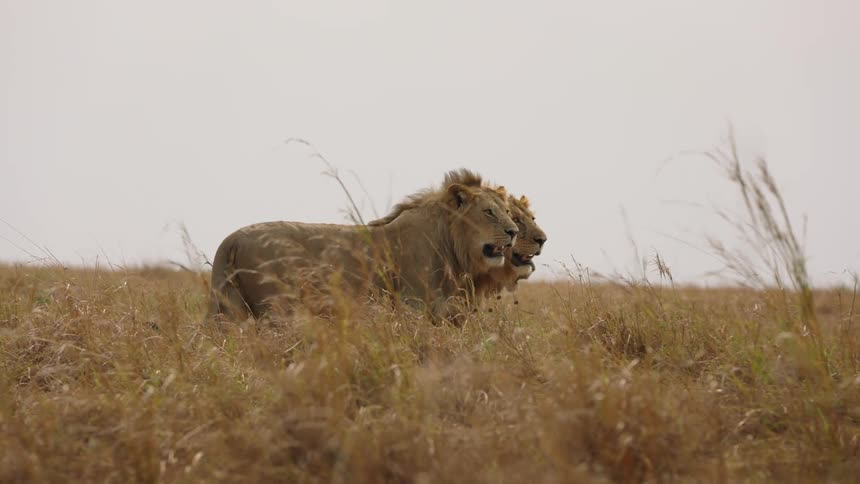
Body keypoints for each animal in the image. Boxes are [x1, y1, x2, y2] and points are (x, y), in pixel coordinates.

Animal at [206, 169, 519, 324]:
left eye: (507, 211)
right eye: (489, 212)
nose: (514, 232)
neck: (450, 244)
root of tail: (230, 240)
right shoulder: (413, 305)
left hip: (230, 309)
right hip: (277, 309)